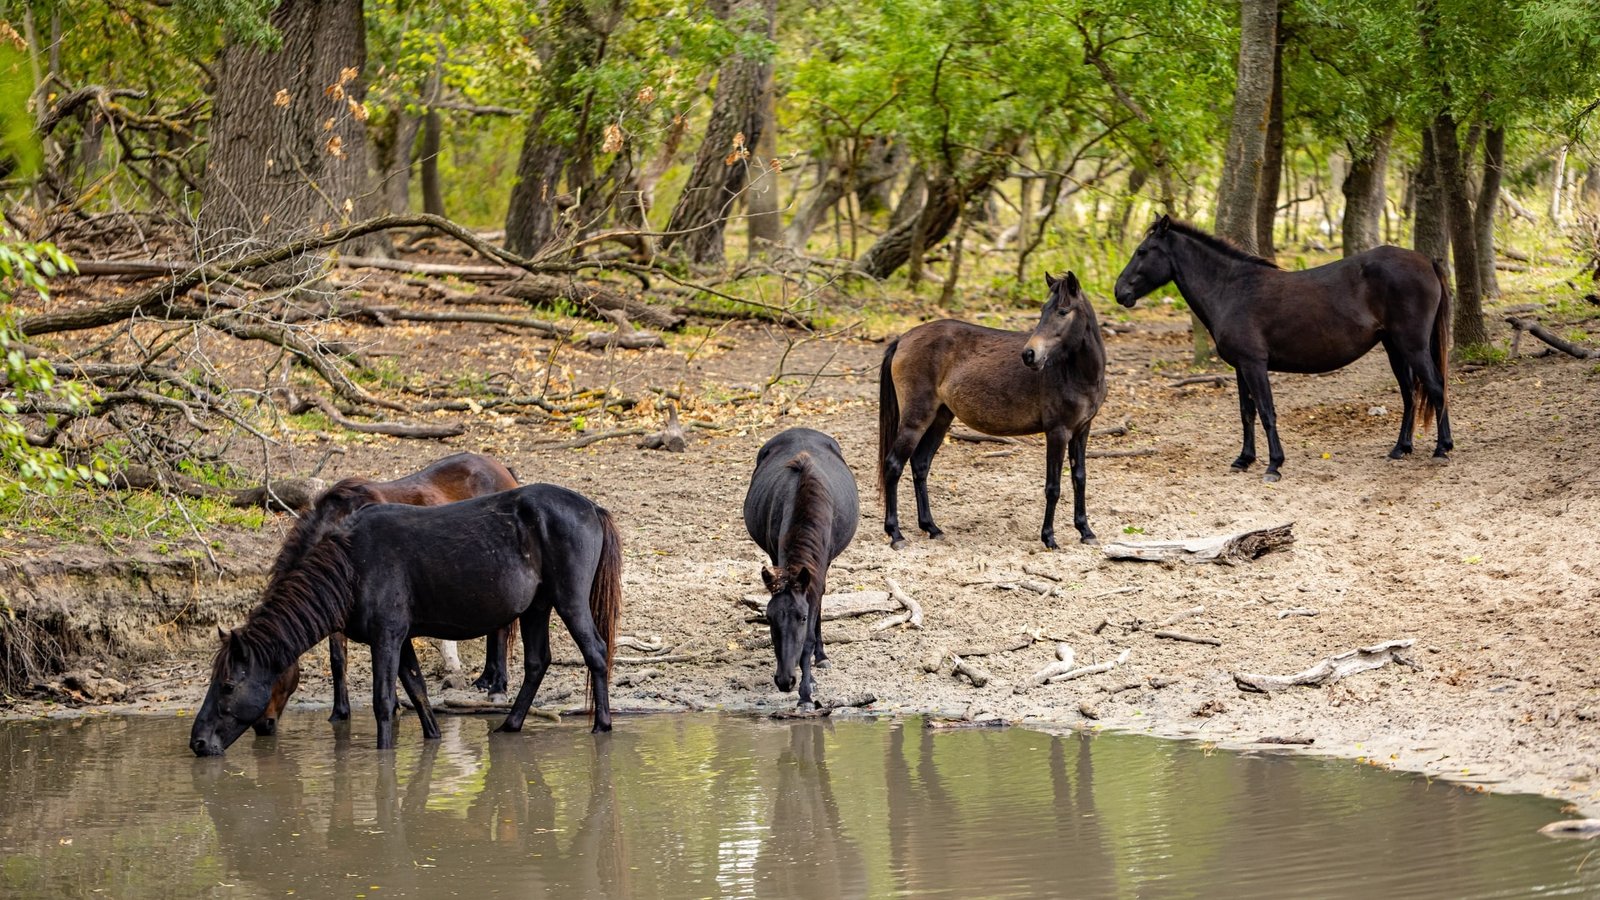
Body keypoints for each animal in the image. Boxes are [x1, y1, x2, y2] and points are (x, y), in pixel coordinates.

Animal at [193, 483, 624, 749]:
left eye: (227, 685)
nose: (197, 743)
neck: (351, 566)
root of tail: (592, 507)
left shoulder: (387, 637)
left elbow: (385, 701)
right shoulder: (399, 639)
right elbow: (417, 689)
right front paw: (432, 738)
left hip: (569, 600)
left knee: (595, 653)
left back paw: (602, 725)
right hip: (536, 607)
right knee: (537, 662)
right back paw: (510, 725)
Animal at [254, 448, 518, 730]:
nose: (262, 725)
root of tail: (502, 469)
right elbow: (338, 659)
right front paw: (340, 712)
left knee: (502, 629)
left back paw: (497, 687)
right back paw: (486, 679)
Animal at [739, 425, 857, 707]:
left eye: (801, 617)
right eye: (769, 617)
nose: (785, 681)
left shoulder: (818, 572)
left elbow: (809, 634)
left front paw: (806, 690)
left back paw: (821, 657)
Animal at [876, 267, 1113, 547]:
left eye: (1063, 311)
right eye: (1043, 309)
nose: (1030, 355)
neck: (1078, 374)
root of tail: (902, 339)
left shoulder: (1082, 430)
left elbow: (1080, 479)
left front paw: (1085, 531)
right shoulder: (1058, 432)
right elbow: (1053, 487)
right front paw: (1049, 537)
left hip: (940, 418)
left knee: (920, 465)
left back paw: (931, 527)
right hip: (916, 419)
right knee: (893, 465)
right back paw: (895, 534)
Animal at [1113, 214, 1452, 480]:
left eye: (1143, 251)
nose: (1119, 292)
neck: (1231, 289)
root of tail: (1427, 261)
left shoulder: (1254, 364)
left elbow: (1266, 411)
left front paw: (1274, 465)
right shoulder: (1240, 368)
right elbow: (1246, 412)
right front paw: (1244, 459)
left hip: (1413, 346)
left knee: (1436, 387)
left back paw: (1442, 449)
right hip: (1395, 348)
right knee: (1410, 394)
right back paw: (1400, 449)